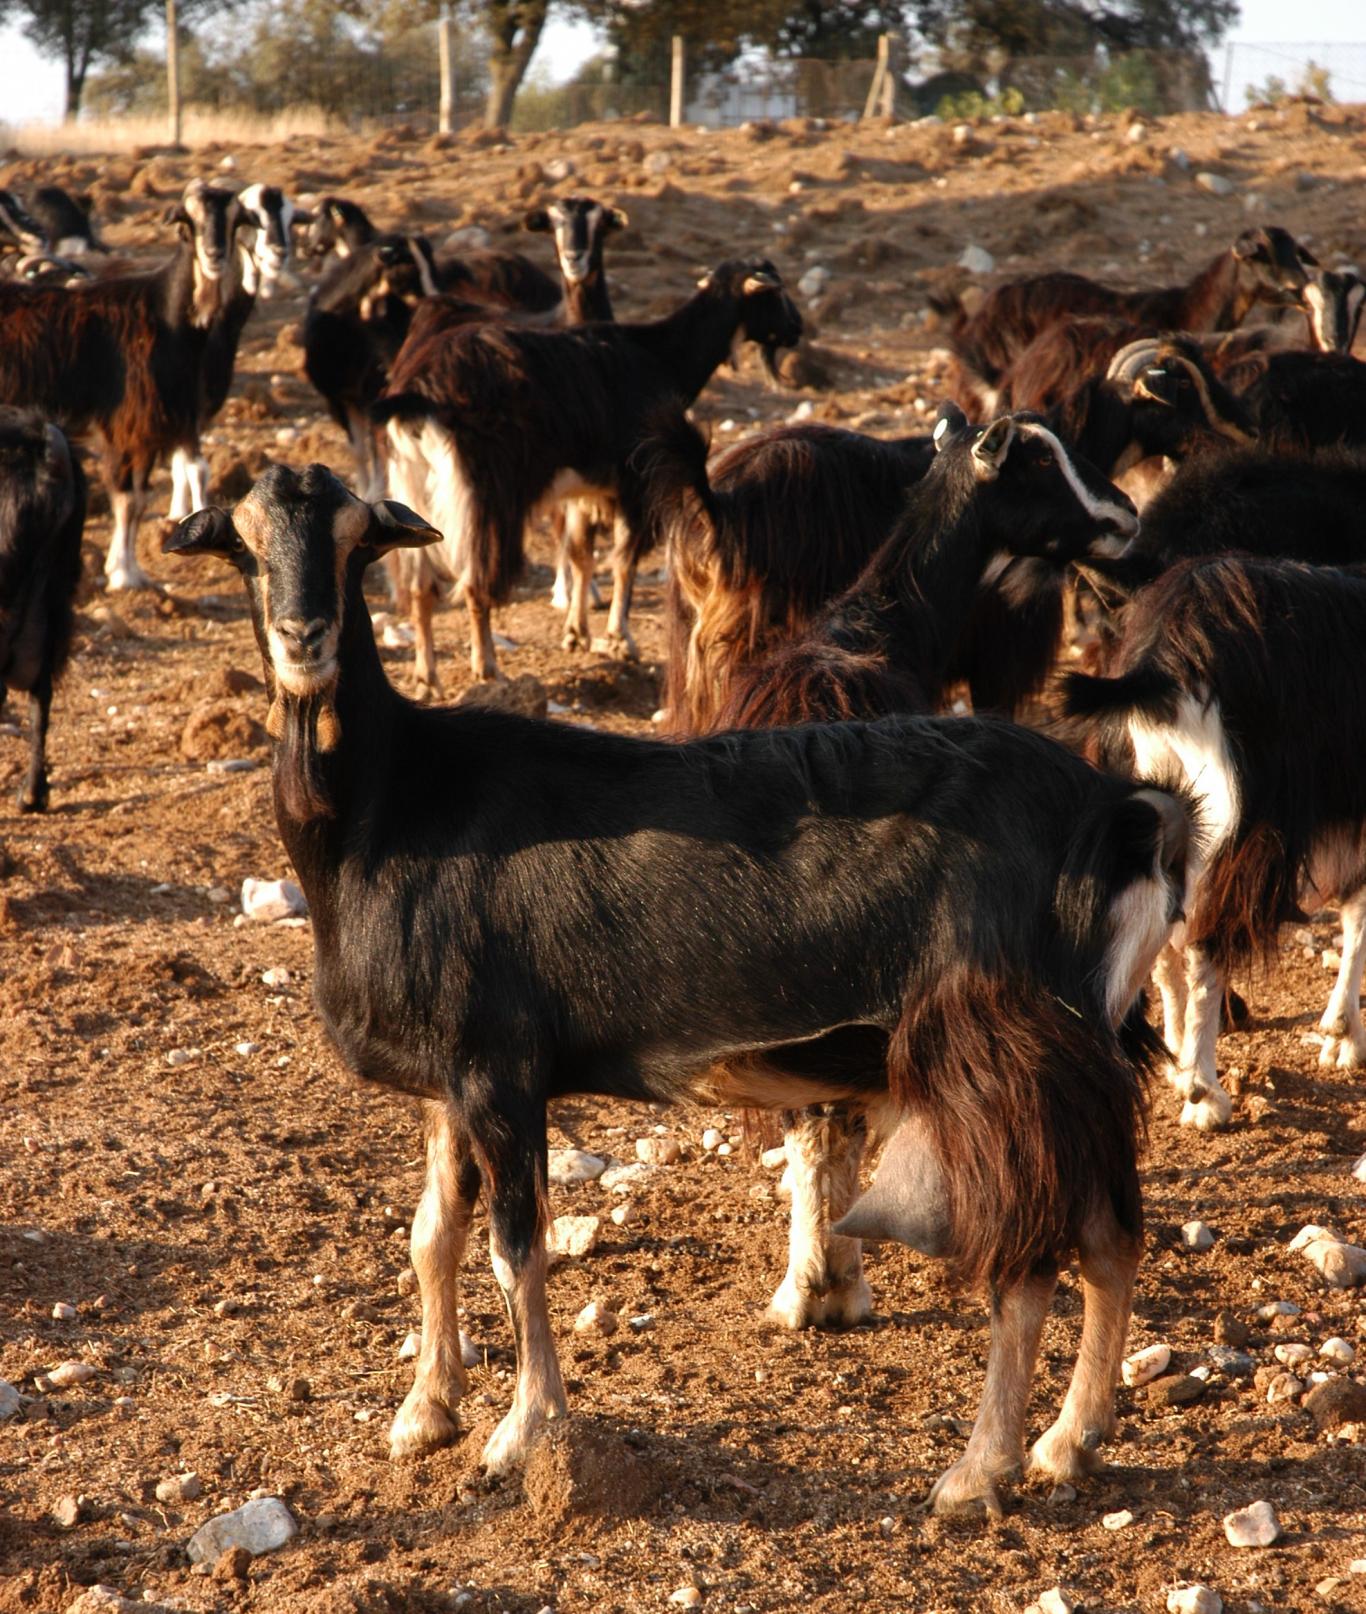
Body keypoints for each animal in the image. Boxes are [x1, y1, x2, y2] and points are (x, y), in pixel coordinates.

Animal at [0, 178, 242, 593]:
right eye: (189, 219)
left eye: (234, 219)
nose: (215, 255)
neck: (166, 314)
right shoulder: (128, 426)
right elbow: (128, 500)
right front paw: (125, 574)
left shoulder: (155, 430)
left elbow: (140, 499)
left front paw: (125, 568)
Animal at [165, 461, 1194, 1517]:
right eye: (243, 540)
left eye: (353, 538)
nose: (304, 638)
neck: (389, 805)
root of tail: (1125, 819)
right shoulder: (449, 1078)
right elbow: (430, 1236)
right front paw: (425, 1412)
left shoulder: (502, 1067)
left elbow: (514, 1249)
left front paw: (522, 1434)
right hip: (1074, 1053)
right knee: (1111, 1235)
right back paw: (1071, 1443)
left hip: (996, 1049)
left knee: (1031, 1258)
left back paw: (981, 1466)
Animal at [377, 261, 800, 690]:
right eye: (775, 294)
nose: (797, 329)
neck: (660, 355)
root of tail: (419, 390)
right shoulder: (635, 485)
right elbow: (624, 560)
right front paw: (620, 640)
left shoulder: (585, 492)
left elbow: (581, 555)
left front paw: (576, 633)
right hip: (484, 496)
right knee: (476, 580)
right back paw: (488, 666)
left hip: (413, 487)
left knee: (420, 586)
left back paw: (426, 676)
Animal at [1065, 561, 1366, 1129]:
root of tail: (1163, 660)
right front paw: (1344, 1036)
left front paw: (1342, 1037)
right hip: (1240, 822)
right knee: (1207, 942)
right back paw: (1203, 1091)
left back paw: (1175, 1060)